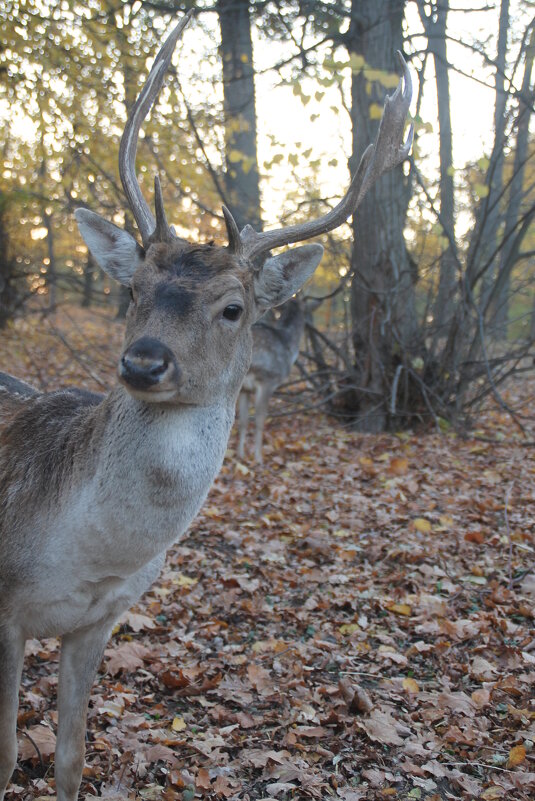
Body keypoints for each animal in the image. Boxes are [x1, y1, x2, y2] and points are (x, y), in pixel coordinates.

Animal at [0, 12, 414, 800]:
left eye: (232, 308)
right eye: (133, 289)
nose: (143, 361)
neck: (86, 551)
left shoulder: (99, 620)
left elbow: (70, 756)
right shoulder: (4, 609)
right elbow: (6, 754)